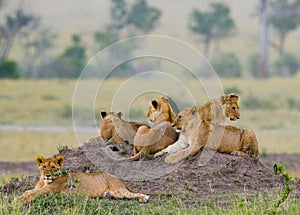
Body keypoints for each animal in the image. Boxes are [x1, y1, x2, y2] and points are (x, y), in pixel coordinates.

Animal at [16, 156, 149, 203]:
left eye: (53, 168)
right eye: (44, 167)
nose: (47, 175)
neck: (44, 181)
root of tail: (119, 179)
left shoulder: (50, 189)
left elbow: (34, 193)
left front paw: (20, 200)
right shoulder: (39, 187)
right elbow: (28, 191)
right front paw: (19, 197)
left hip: (118, 190)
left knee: (133, 194)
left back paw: (144, 198)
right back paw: (106, 196)